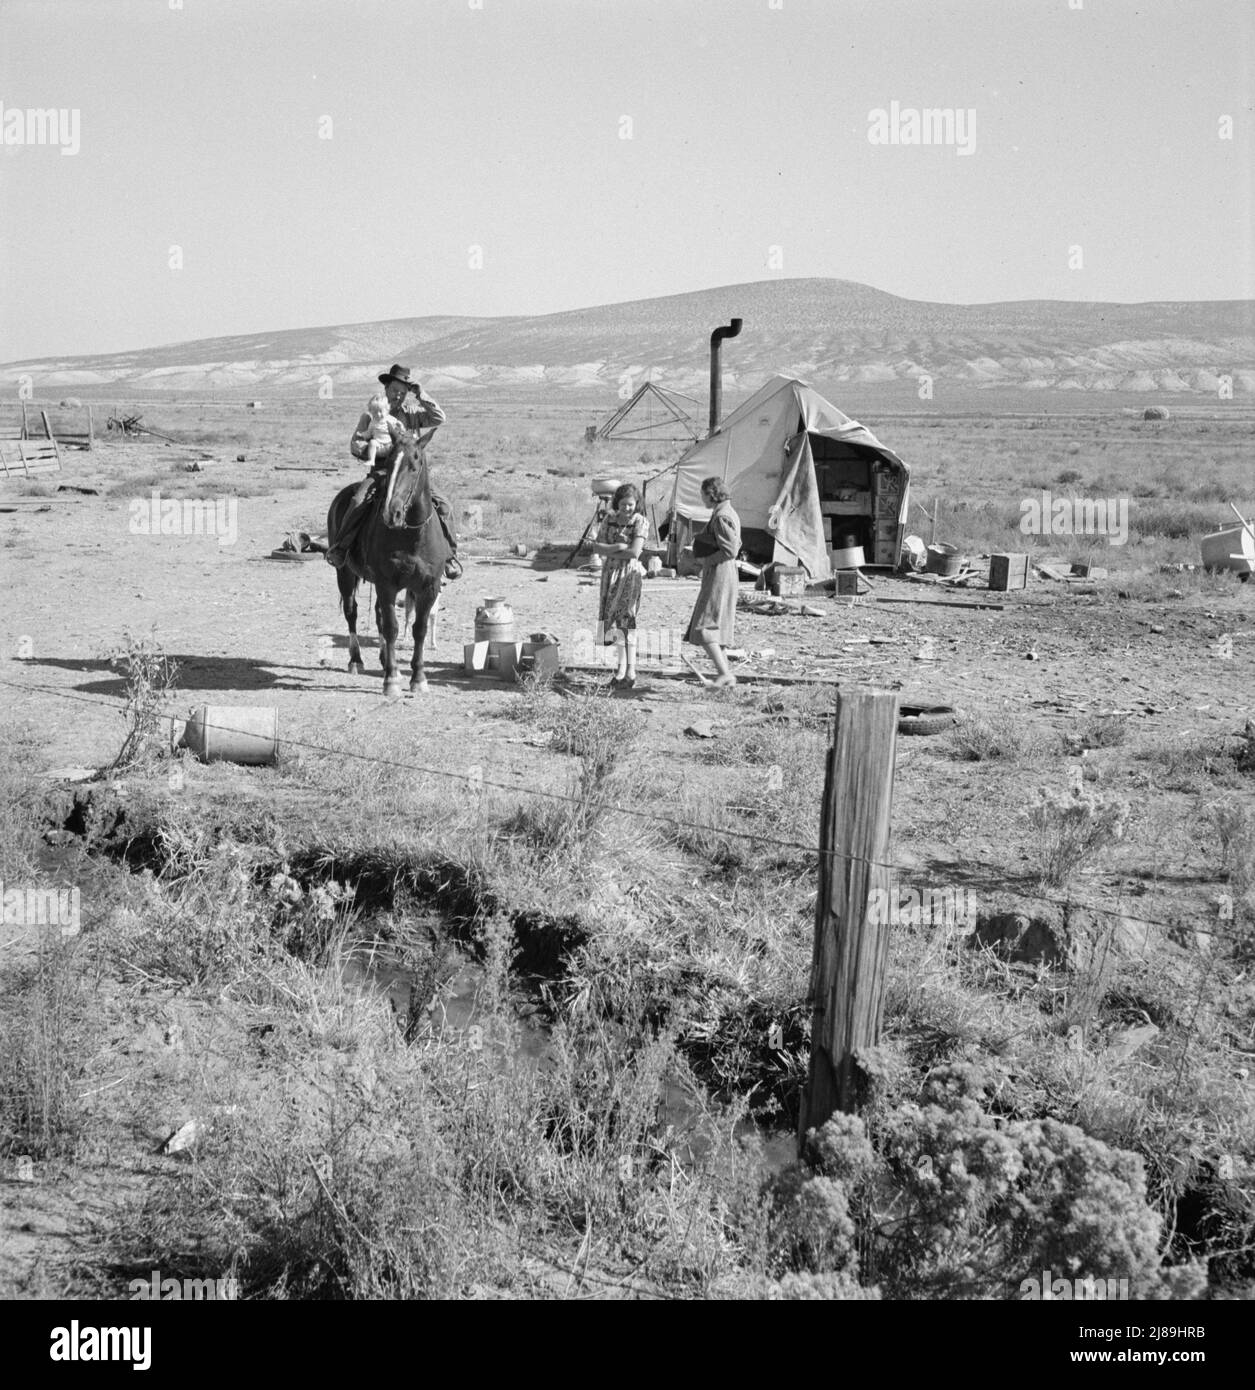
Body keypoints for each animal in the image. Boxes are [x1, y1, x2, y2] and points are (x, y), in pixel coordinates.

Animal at [326, 428, 450, 700]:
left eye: (415, 466)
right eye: (390, 463)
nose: (390, 513)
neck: (412, 537)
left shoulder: (428, 587)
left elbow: (418, 629)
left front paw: (418, 678)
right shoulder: (387, 584)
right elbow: (392, 627)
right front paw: (391, 680)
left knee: (379, 616)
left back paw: (384, 660)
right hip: (344, 574)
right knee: (352, 612)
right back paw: (356, 660)